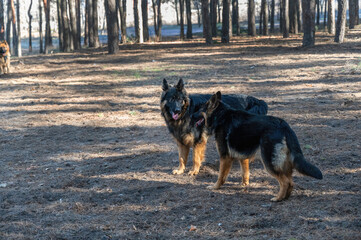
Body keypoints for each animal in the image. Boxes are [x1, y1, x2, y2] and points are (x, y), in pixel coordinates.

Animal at [193, 91, 322, 201]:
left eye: (199, 109)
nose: (190, 116)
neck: (220, 115)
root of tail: (283, 125)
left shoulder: (225, 157)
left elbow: (221, 176)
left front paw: (215, 187)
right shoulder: (242, 156)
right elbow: (245, 173)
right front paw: (244, 185)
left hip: (269, 162)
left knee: (285, 182)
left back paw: (278, 198)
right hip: (283, 163)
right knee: (291, 182)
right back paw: (285, 197)